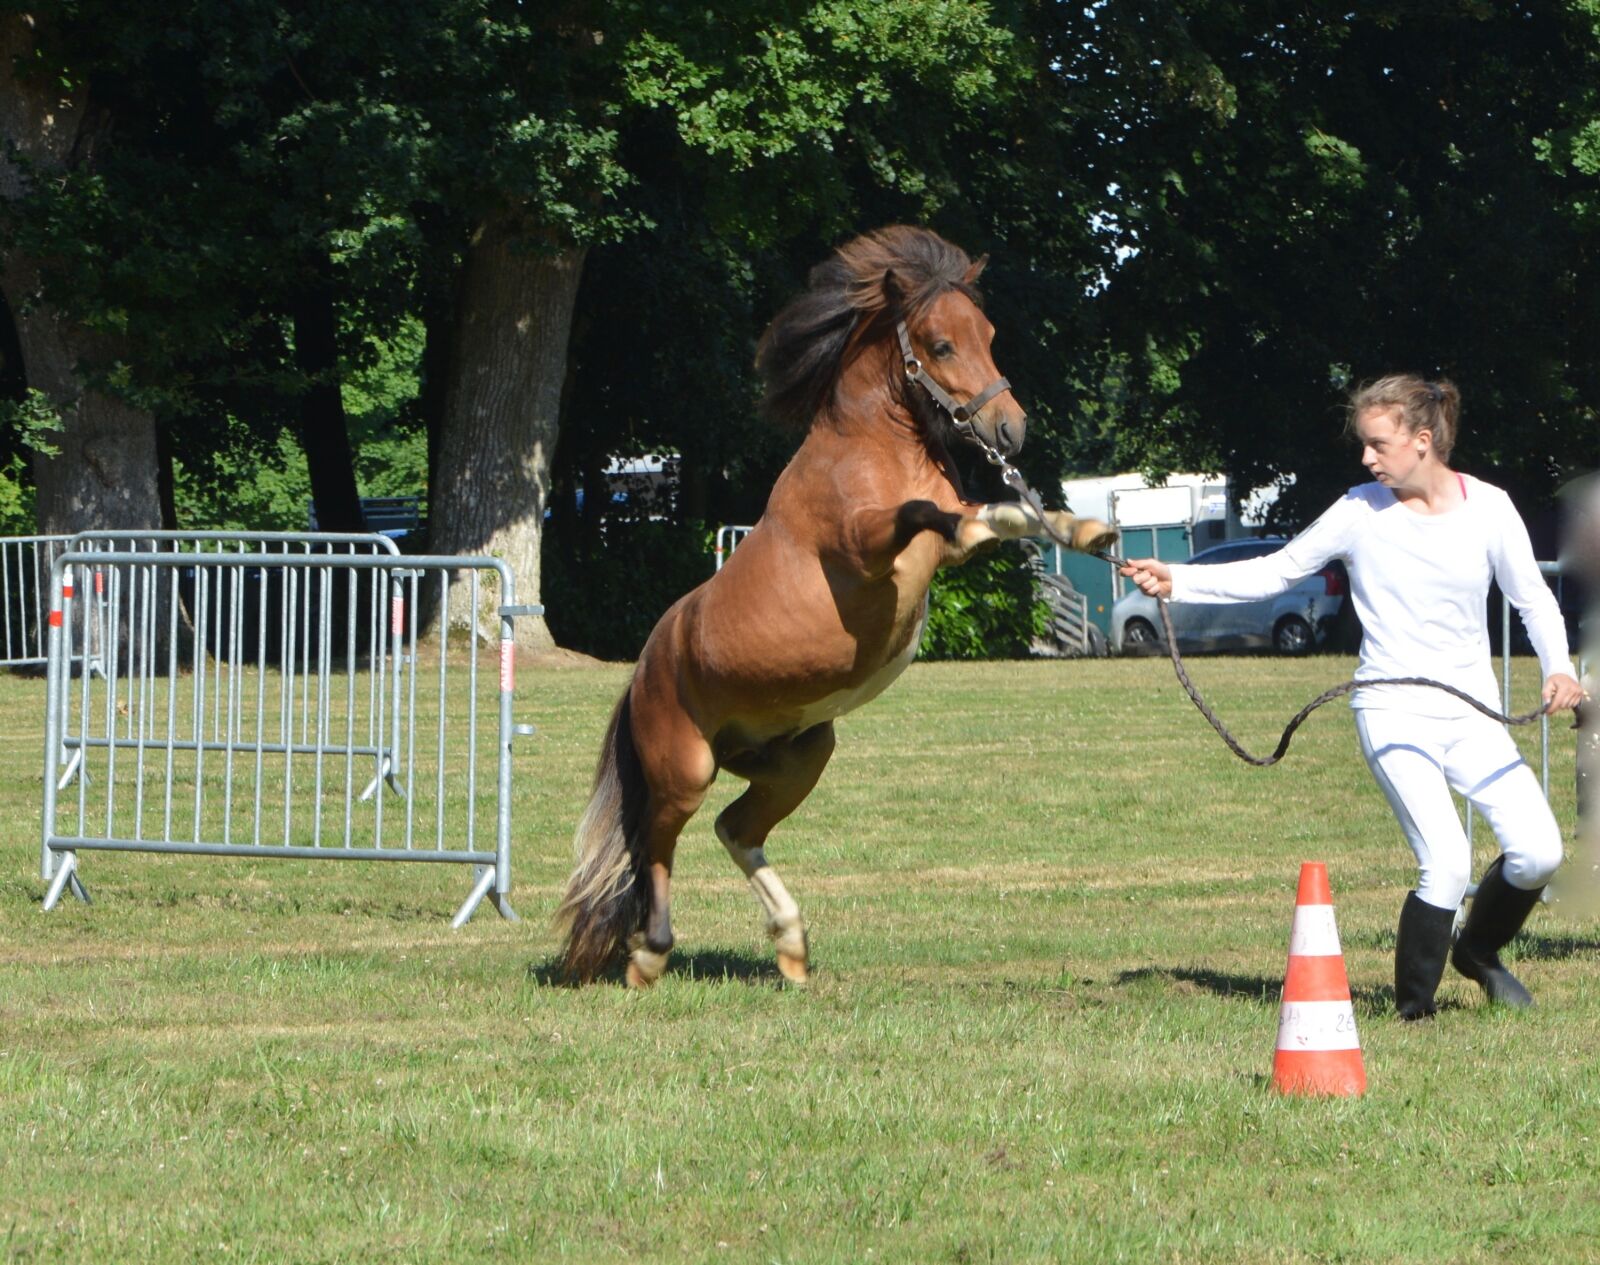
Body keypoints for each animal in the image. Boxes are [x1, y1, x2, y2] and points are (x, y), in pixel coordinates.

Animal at [555, 225, 1114, 987]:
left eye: (990, 334)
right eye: (942, 344)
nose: (1010, 431)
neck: (875, 450)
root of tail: (641, 673)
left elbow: (1002, 515)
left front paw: (1082, 529)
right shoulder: (864, 547)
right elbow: (934, 515)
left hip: (800, 755)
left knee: (734, 828)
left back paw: (790, 944)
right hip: (685, 768)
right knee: (657, 844)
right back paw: (650, 952)